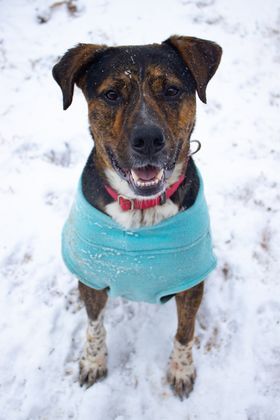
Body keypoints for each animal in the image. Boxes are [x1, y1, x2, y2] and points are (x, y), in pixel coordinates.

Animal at [53, 35, 222, 398]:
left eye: (171, 90)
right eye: (111, 94)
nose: (147, 139)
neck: (140, 209)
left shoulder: (191, 284)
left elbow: (185, 332)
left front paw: (181, 369)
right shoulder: (91, 277)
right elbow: (95, 325)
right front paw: (93, 361)